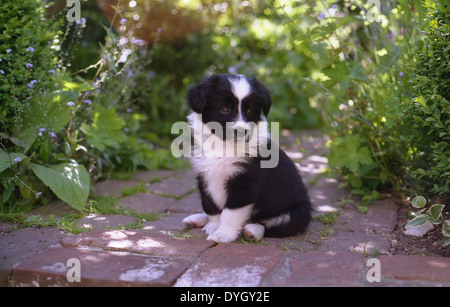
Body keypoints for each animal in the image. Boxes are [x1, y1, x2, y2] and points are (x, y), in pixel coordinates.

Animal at [181, 74, 312, 243]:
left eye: (250, 110)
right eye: (224, 109)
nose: (241, 131)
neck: (224, 146)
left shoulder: (245, 182)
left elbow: (230, 213)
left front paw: (222, 234)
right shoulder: (205, 176)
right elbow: (211, 206)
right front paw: (213, 225)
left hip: (299, 212)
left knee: (271, 225)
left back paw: (253, 231)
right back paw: (196, 219)